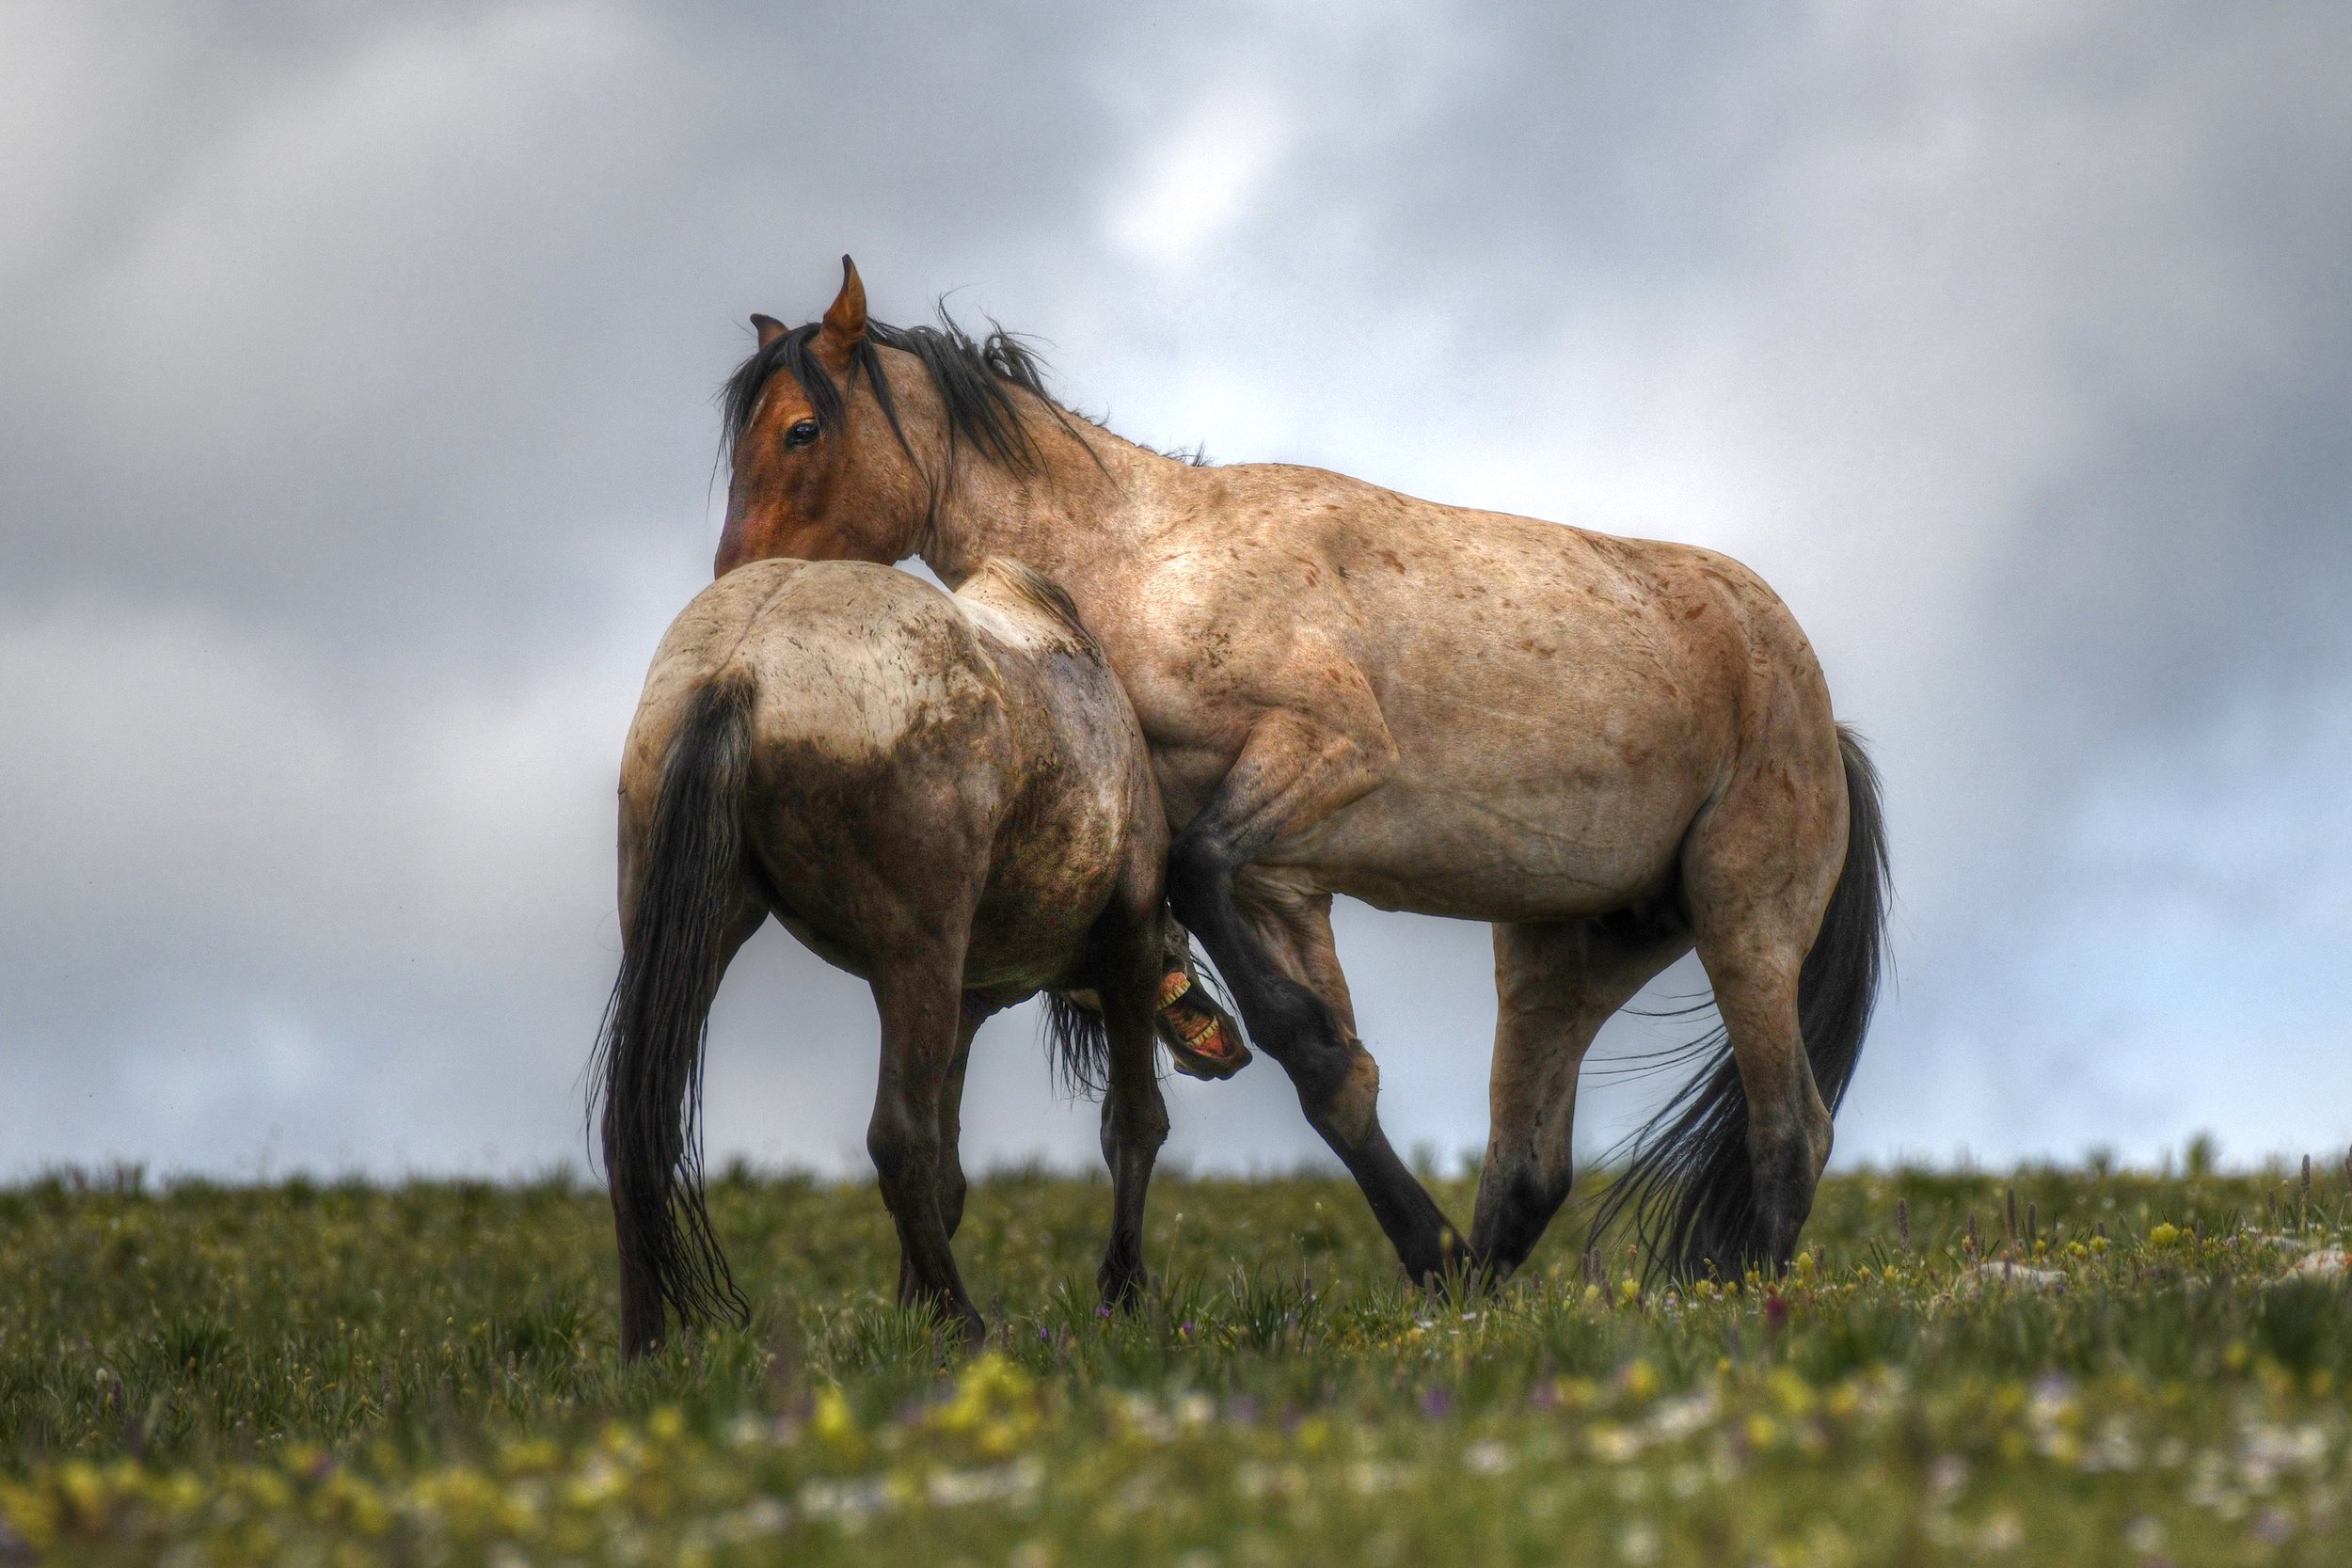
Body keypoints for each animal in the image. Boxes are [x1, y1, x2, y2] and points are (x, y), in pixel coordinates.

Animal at [593, 555, 1225, 1356]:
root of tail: (741, 668)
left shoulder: (967, 1002)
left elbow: (953, 1175)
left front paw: (910, 1315)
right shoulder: (1128, 942)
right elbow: (1134, 1122)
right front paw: (1124, 1295)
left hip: (700, 925)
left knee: (637, 1124)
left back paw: (646, 1348)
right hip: (915, 956)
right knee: (897, 1137)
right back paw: (970, 1324)